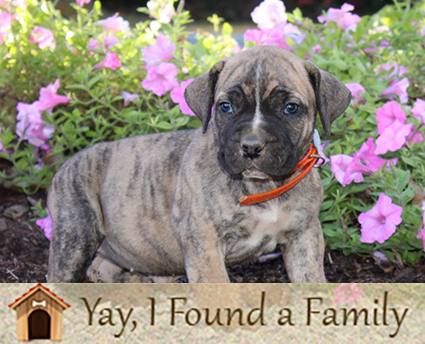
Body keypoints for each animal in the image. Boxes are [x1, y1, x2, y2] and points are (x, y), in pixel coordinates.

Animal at [47, 45, 352, 282]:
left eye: (291, 108)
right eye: (225, 106)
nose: (251, 146)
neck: (263, 186)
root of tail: (67, 164)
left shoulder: (304, 235)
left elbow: (311, 279)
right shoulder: (204, 241)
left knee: (102, 268)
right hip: (76, 233)